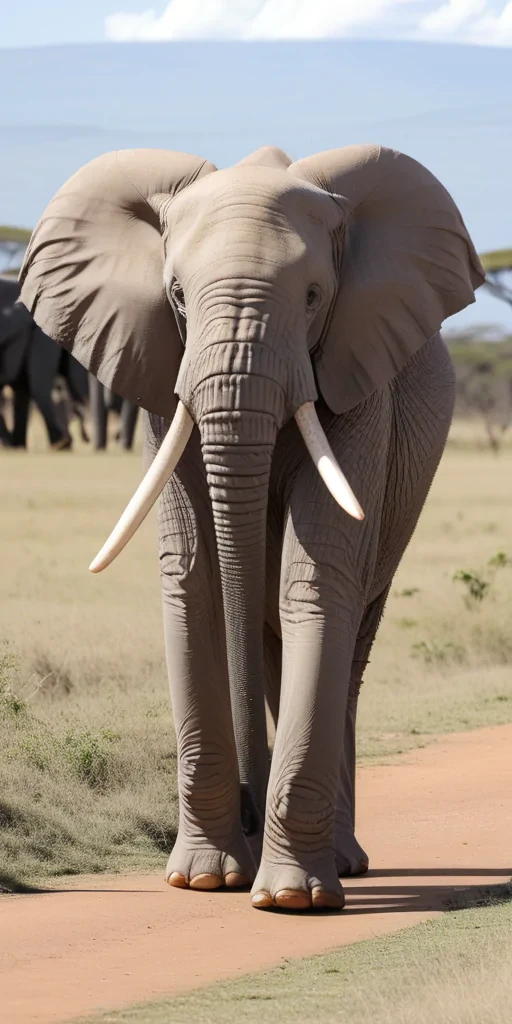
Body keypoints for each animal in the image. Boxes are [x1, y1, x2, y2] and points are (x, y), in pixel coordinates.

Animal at [19, 144, 484, 911]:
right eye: (176, 294)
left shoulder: (358, 381)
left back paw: (344, 862)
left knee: (347, 639)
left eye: (315, 296)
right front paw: (204, 879)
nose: (246, 809)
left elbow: (316, 572)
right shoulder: (161, 379)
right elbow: (191, 578)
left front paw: (290, 897)